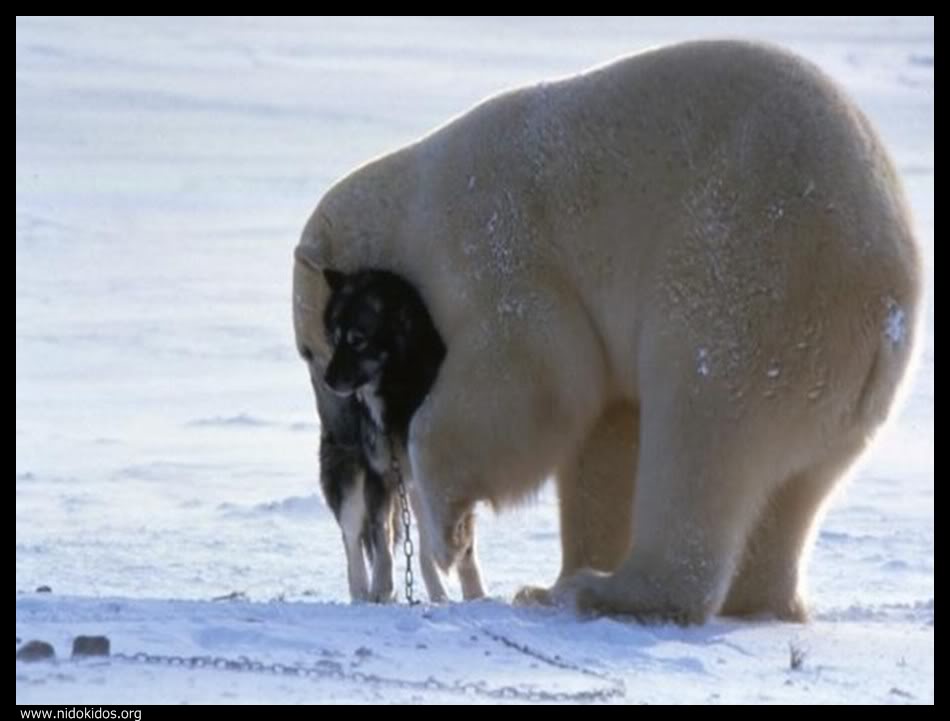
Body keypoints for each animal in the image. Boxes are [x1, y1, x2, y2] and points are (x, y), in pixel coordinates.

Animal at [316, 268, 488, 600]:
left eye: (357, 340)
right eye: (334, 338)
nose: (327, 380)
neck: (397, 395)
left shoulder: (447, 475)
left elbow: (460, 546)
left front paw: (476, 596)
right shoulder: (379, 474)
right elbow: (381, 537)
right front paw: (382, 587)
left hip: (416, 488)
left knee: (423, 545)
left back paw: (438, 594)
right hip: (349, 477)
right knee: (352, 540)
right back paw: (362, 594)